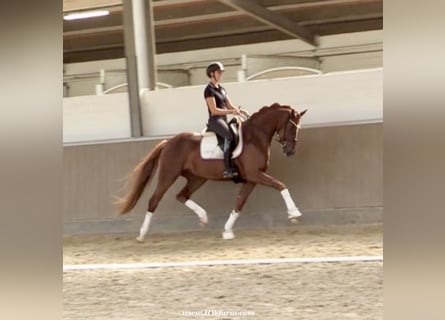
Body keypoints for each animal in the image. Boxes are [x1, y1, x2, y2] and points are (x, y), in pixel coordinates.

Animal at [115, 102, 306, 240]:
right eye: (292, 126)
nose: (290, 151)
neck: (255, 137)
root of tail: (168, 142)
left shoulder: (252, 178)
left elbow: (239, 202)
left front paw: (227, 230)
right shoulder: (254, 174)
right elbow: (280, 185)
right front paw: (294, 213)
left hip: (197, 178)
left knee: (182, 195)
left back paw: (203, 217)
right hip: (168, 175)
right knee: (154, 200)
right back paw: (142, 234)